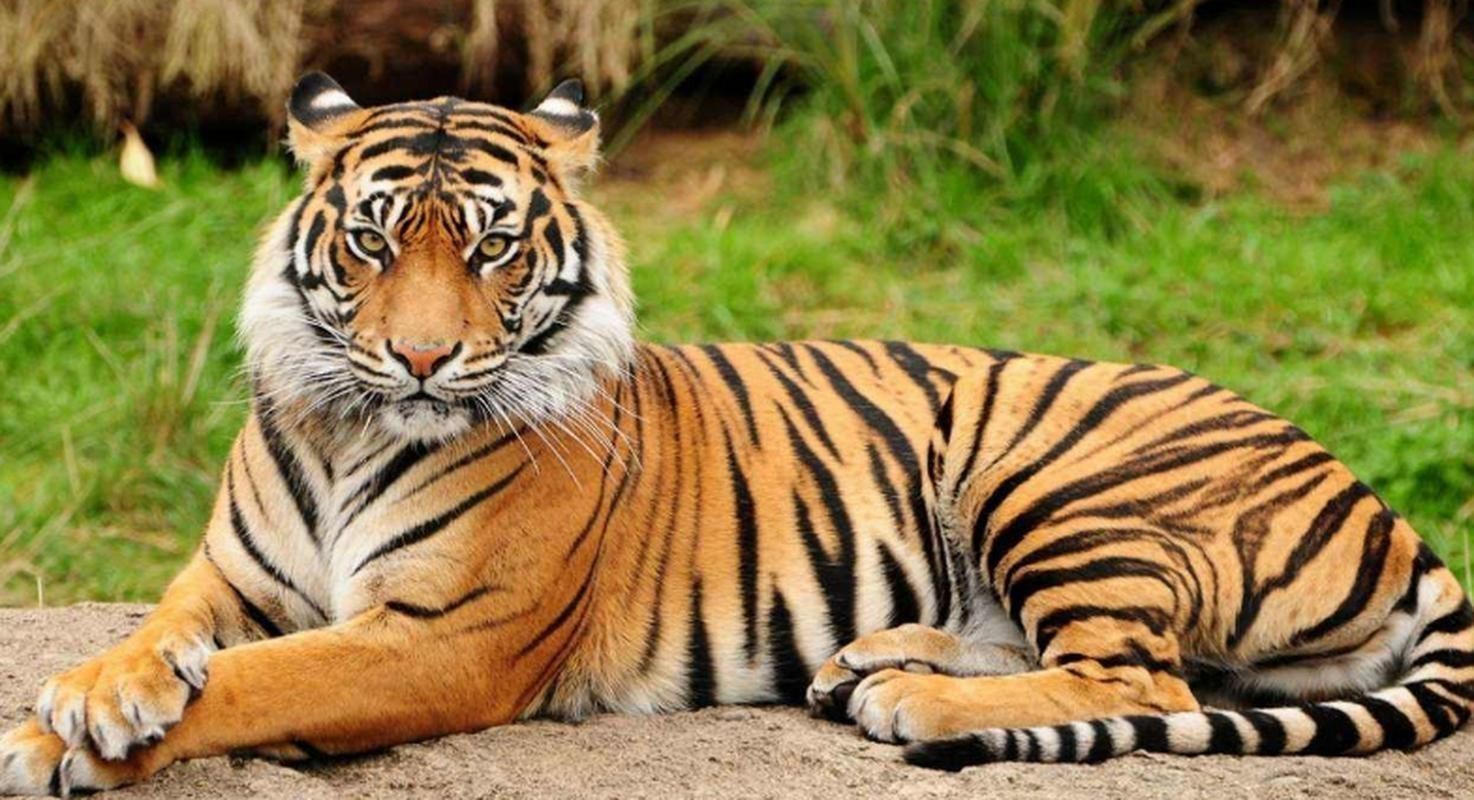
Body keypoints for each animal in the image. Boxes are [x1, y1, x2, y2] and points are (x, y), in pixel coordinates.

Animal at [2, 71, 1470, 795]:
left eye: (488, 247)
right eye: (371, 241)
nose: (420, 357)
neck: (348, 423)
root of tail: (1382, 504)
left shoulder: (441, 637)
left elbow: (259, 684)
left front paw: (62, 737)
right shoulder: (229, 575)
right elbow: (165, 636)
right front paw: (90, 695)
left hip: (1051, 469)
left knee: (1141, 679)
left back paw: (912, 698)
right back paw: (870, 662)